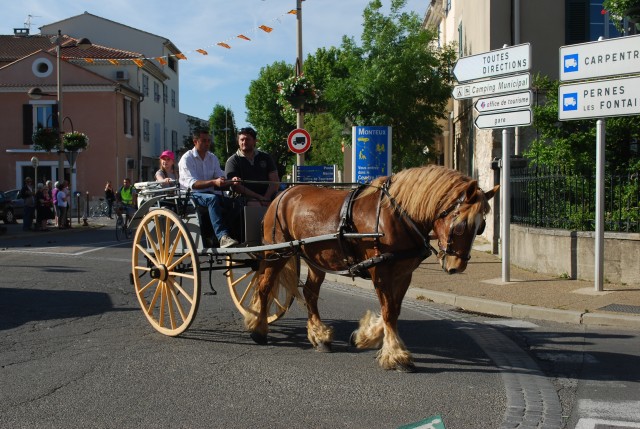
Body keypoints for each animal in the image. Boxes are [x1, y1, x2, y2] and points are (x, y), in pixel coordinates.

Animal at [245, 164, 500, 372]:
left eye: (481, 227)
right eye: (460, 226)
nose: (456, 266)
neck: (396, 215)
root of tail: (284, 194)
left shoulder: (403, 274)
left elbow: (394, 310)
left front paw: (364, 337)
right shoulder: (381, 272)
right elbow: (388, 311)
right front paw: (396, 356)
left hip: (316, 259)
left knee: (310, 294)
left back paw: (320, 336)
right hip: (277, 253)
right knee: (265, 286)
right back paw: (258, 328)